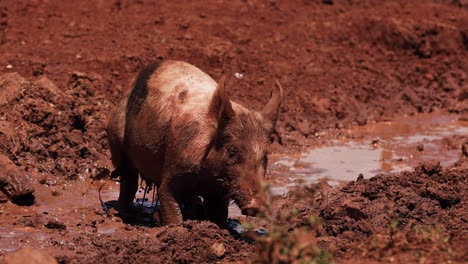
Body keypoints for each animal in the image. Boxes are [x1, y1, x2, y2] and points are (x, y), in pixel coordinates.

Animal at [107, 60, 282, 227]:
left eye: (265, 157)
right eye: (232, 152)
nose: (257, 205)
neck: (205, 176)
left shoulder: (219, 191)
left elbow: (218, 213)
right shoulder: (175, 167)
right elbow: (167, 196)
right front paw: (176, 228)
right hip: (116, 138)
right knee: (128, 180)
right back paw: (124, 213)